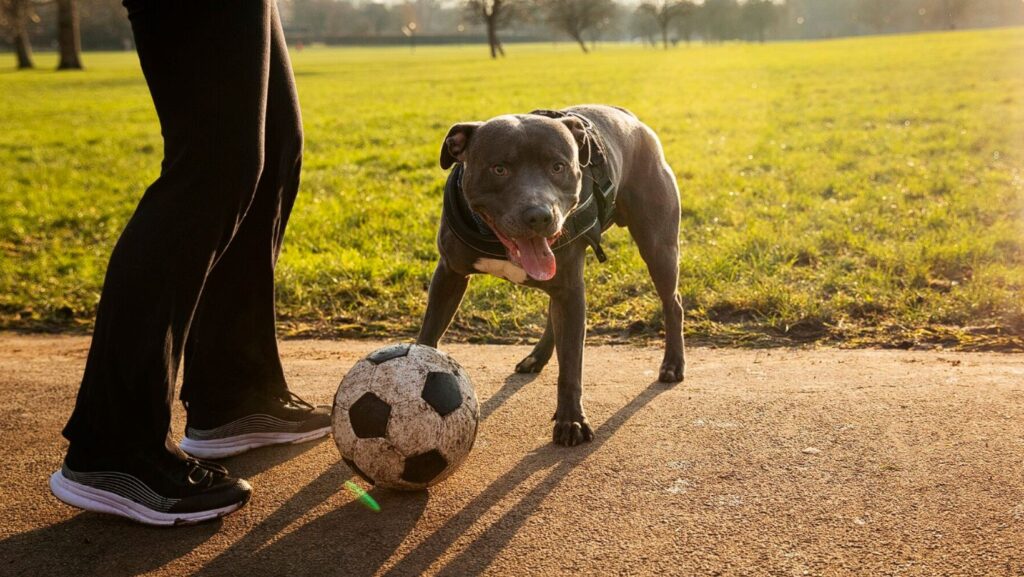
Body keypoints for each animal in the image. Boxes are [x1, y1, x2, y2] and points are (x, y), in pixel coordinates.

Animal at [417, 105, 684, 446]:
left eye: (558, 166)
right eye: (499, 169)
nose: (539, 215)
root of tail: (631, 118)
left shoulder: (570, 290)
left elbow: (571, 365)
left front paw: (571, 421)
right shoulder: (449, 274)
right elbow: (429, 332)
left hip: (658, 247)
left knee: (672, 302)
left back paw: (673, 364)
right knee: (553, 318)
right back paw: (537, 357)